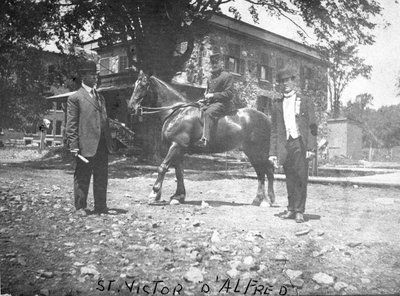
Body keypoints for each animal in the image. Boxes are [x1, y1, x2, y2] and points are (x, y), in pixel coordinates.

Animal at [128, 71, 276, 206]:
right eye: (134, 84)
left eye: (143, 85)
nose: (131, 107)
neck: (178, 112)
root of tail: (266, 118)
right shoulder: (179, 150)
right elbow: (179, 172)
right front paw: (178, 196)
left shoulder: (176, 146)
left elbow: (162, 167)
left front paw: (154, 194)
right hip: (251, 152)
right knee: (262, 171)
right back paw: (260, 200)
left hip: (257, 151)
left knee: (266, 170)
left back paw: (266, 200)